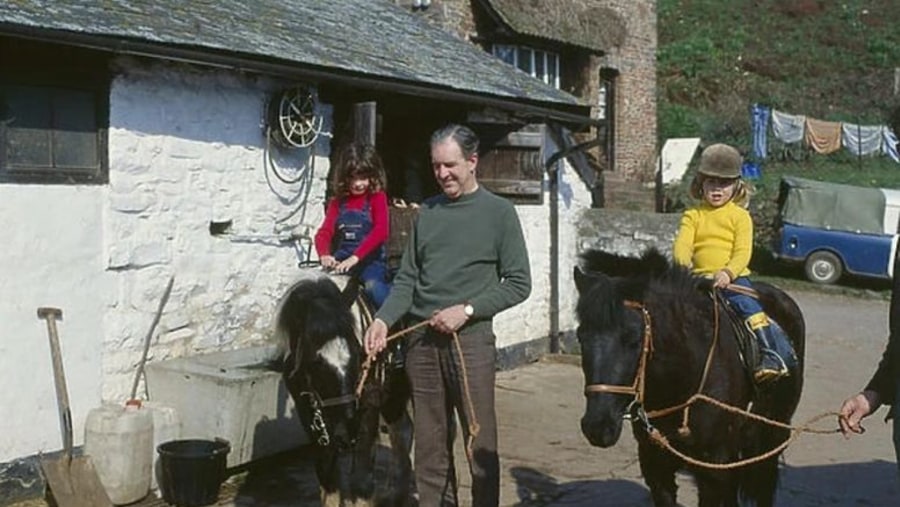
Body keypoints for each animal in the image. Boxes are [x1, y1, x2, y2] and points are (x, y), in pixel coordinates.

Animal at [274, 274, 414, 507]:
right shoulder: (308, 414)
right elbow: (327, 476)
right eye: (314, 361)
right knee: (403, 431)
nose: (346, 434)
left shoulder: (369, 407)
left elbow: (361, 480)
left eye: (359, 353)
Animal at [576, 249, 808, 507]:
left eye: (634, 338)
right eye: (580, 336)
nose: (597, 426)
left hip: (773, 430)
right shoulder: (655, 462)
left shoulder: (713, 468)